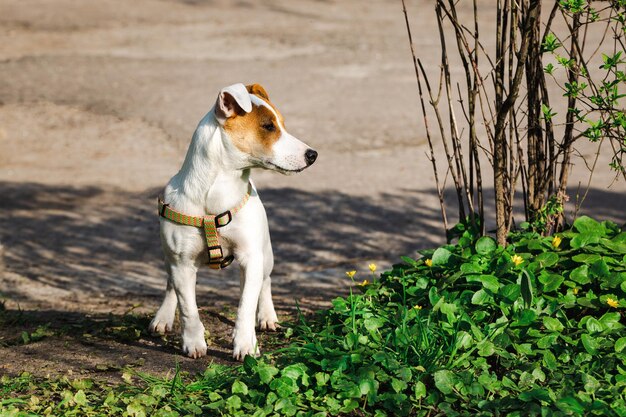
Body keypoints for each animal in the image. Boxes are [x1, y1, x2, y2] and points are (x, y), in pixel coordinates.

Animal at [149, 83, 316, 360]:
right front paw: (193, 343)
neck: (216, 194)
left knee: (265, 283)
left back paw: (267, 316)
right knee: (171, 285)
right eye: (268, 126)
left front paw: (246, 344)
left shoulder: (251, 257)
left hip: (266, 254)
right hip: (168, 257)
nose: (312, 154)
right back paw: (163, 317)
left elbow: (246, 305)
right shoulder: (182, 263)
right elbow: (188, 308)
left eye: (282, 124)